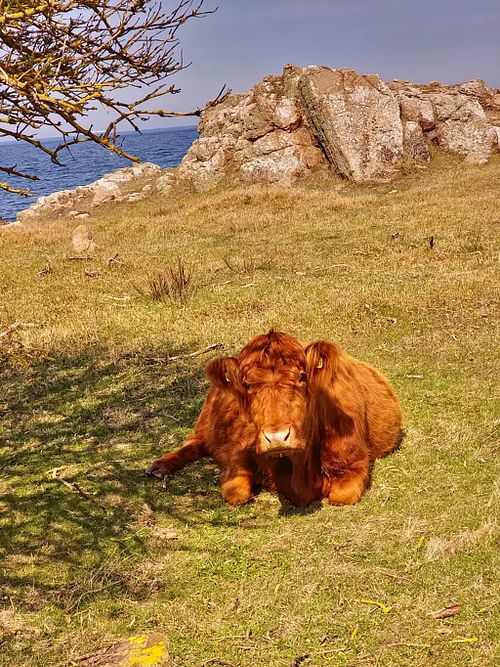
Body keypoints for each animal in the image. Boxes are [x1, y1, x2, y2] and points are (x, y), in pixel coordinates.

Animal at [146, 330, 402, 507]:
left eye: (302, 376)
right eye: (247, 385)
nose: (277, 437)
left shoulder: (356, 462)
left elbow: (342, 495)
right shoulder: (238, 455)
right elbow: (236, 493)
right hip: (204, 422)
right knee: (193, 443)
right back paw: (160, 465)